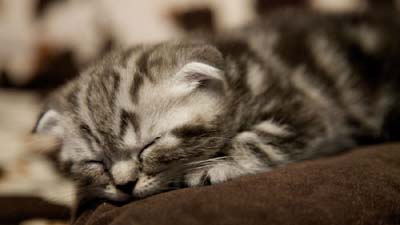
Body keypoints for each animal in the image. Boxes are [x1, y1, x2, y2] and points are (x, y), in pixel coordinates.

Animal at [33, 7, 400, 204]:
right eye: (95, 161)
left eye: (151, 144)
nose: (124, 185)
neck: (235, 79)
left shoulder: (308, 111)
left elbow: (257, 139)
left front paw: (217, 165)